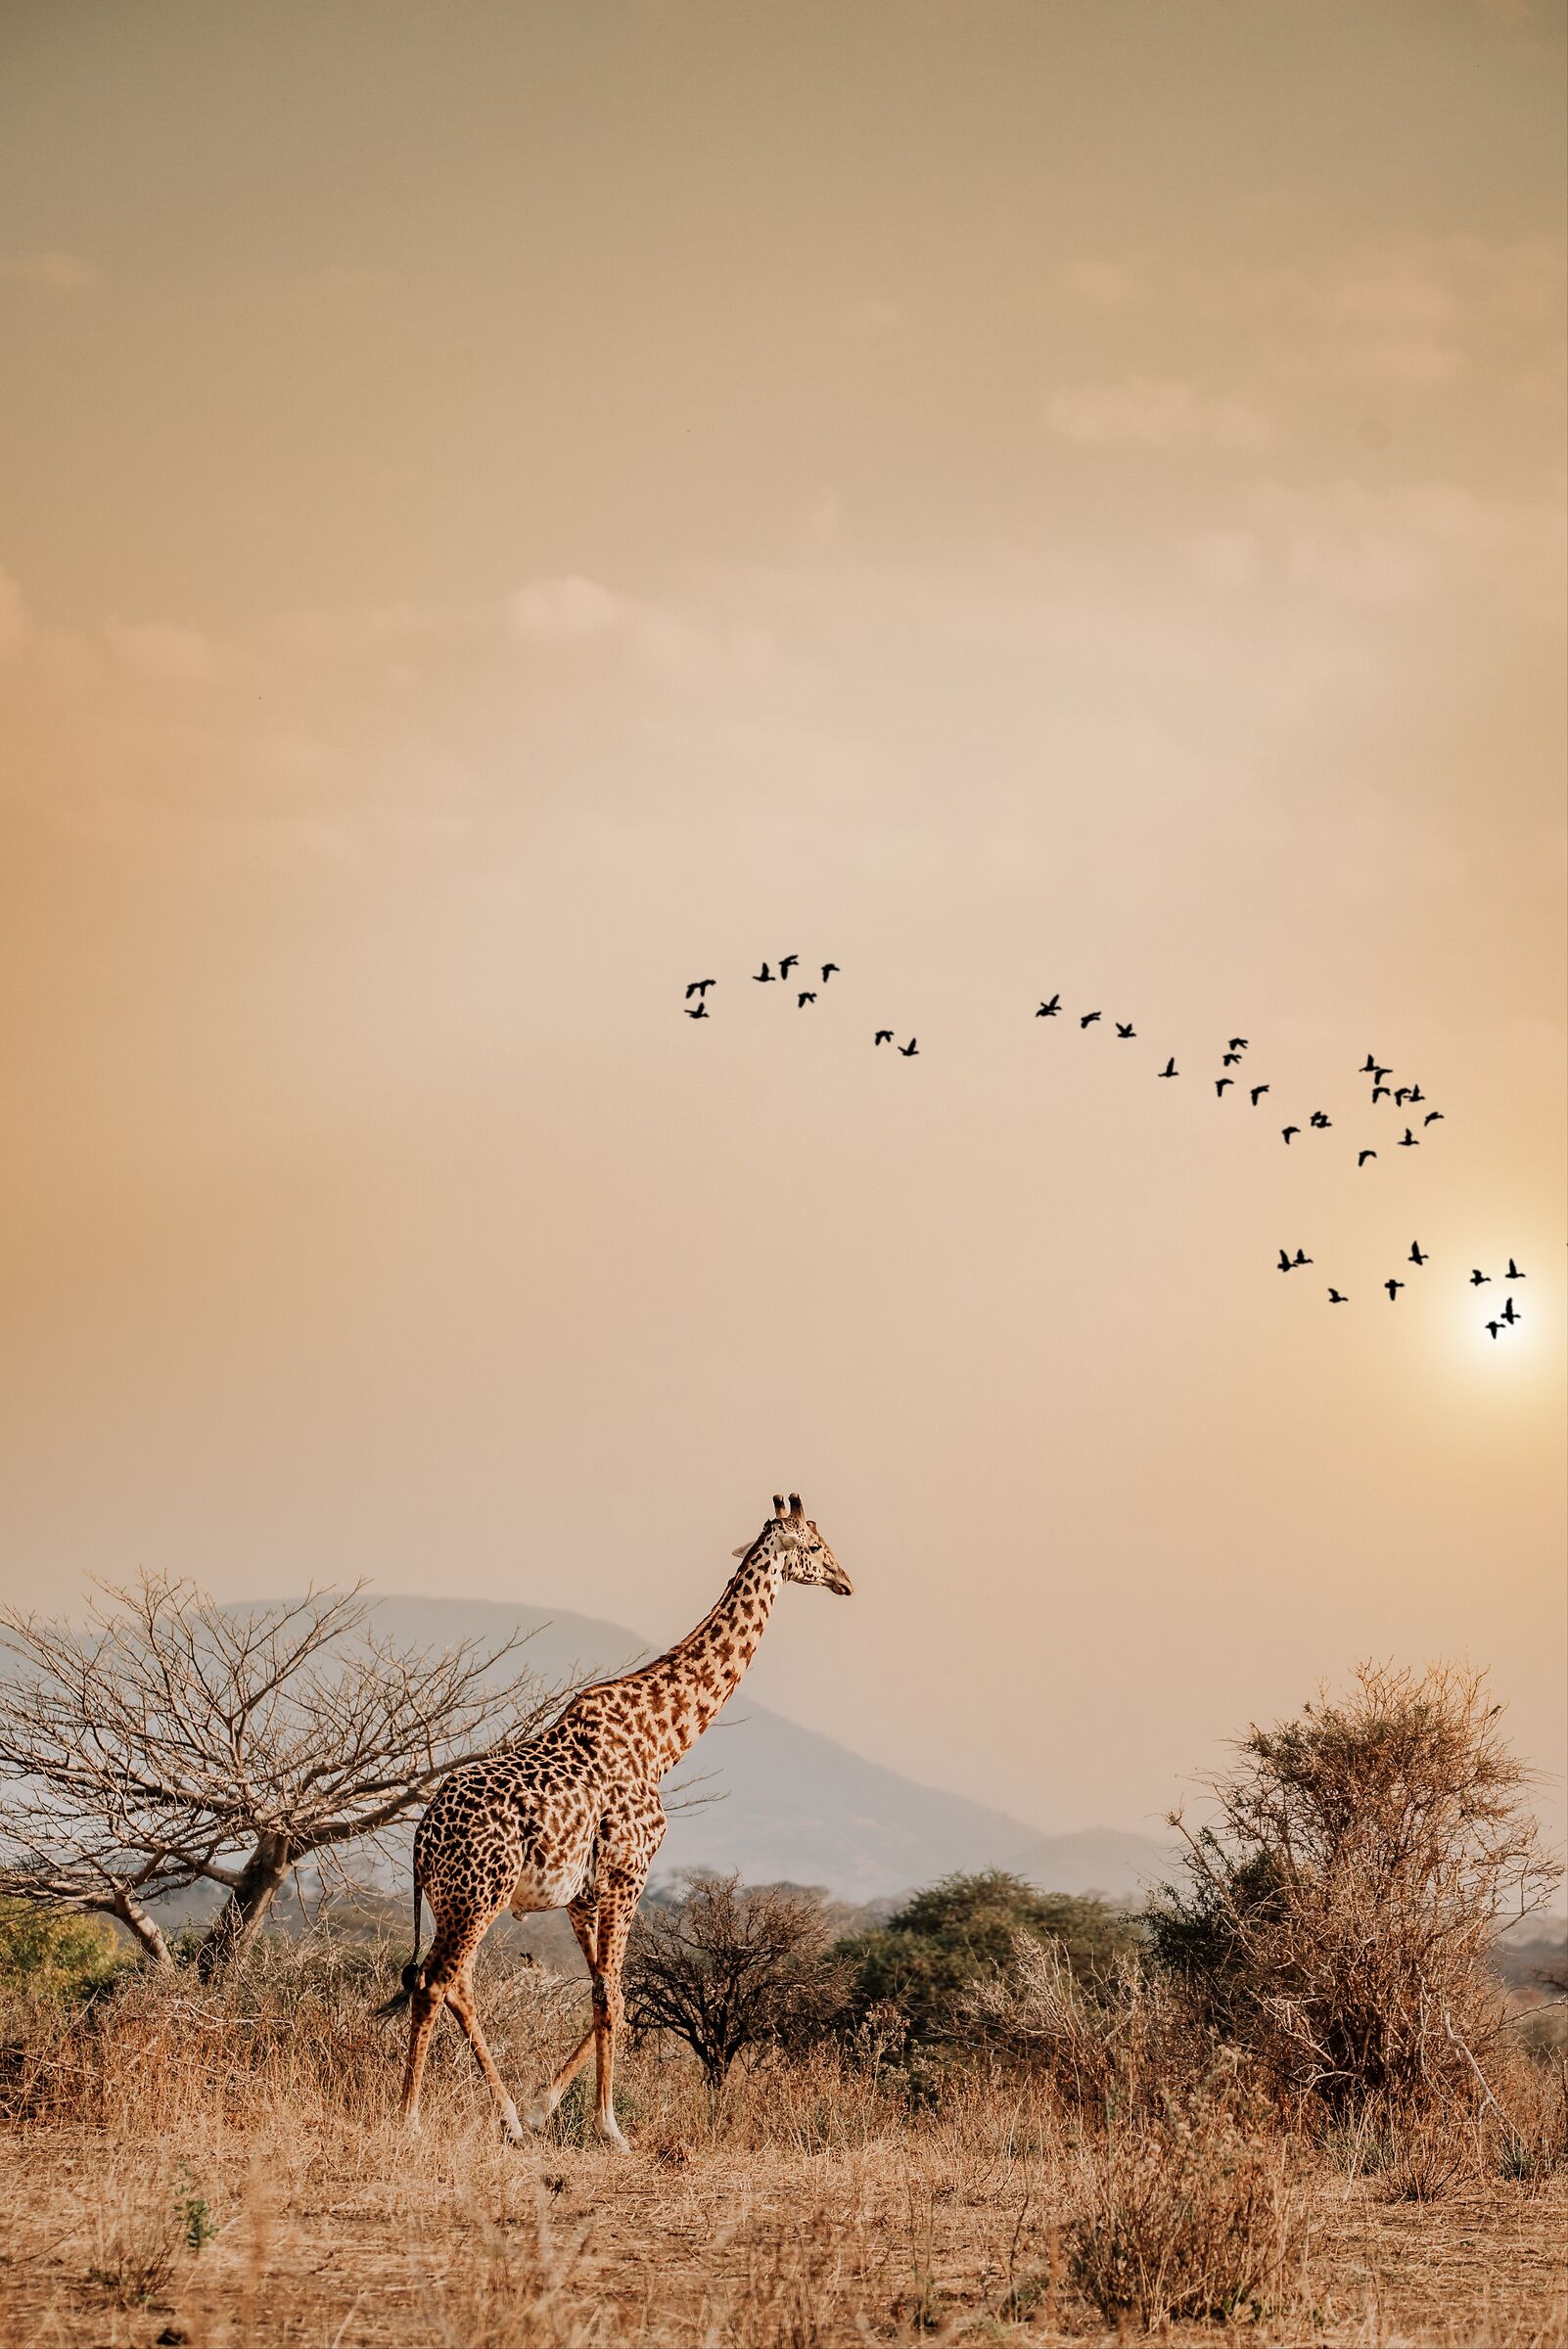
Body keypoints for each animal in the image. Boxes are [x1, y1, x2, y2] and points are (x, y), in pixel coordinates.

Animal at [387, 1493, 852, 2148]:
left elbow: (610, 1996)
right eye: (813, 1545)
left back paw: (509, 2117)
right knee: (433, 1984)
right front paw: (610, 2127)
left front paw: (544, 2108)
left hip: (463, 1900)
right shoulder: (629, 1872)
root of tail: (421, 1840)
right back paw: (410, 2120)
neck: (663, 1739)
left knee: (457, 1983)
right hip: (477, 1894)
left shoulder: (584, 1894)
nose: (845, 1580)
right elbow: (614, 1998)